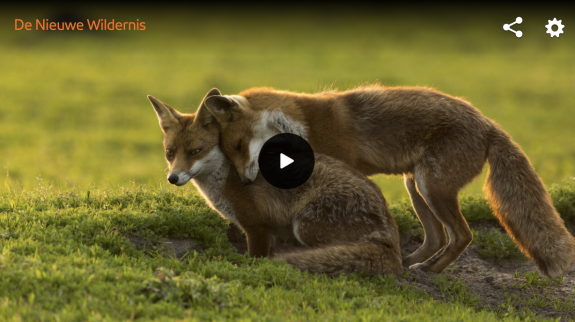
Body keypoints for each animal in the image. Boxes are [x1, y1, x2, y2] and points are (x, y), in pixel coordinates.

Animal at [148, 90, 402, 276]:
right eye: (170, 153)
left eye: (195, 151)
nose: (173, 178)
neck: (223, 178)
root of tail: (392, 238)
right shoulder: (267, 230)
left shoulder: (256, 225)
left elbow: (256, 256)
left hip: (304, 225)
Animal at [205, 85, 575, 280]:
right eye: (229, 151)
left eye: (238, 145)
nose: (245, 180)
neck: (300, 127)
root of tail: (488, 123)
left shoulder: (337, 165)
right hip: (416, 186)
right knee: (437, 236)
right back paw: (409, 265)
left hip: (431, 186)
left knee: (462, 235)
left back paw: (430, 270)